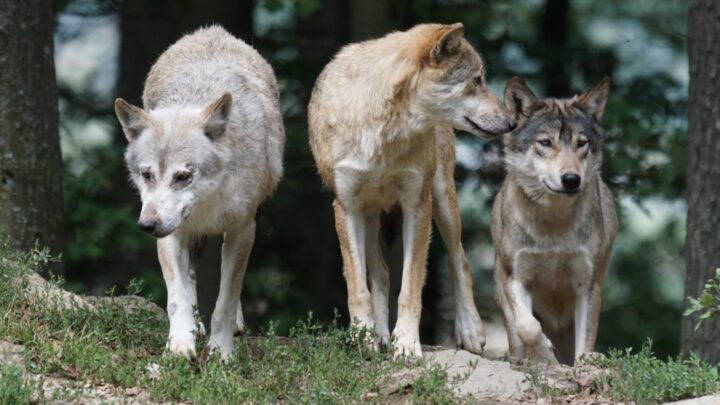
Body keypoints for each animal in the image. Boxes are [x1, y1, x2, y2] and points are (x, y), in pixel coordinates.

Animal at [113, 25, 284, 360]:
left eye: (183, 177)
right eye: (147, 174)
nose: (146, 225)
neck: (207, 203)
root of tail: (212, 30)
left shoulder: (243, 229)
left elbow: (226, 300)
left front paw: (221, 352)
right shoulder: (171, 234)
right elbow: (177, 297)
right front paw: (180, 345)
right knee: (190, 279)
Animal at [306, 22, 516, 356]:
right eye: (477, 80)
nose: (512, 122)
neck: (384, 131)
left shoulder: (417, 204)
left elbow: (411, 288)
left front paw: (406, 344)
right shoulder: (346, 207)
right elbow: (358, 287)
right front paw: (364, 337)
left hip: (443, 202)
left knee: (460, 259)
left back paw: (470, 330)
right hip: (369, 215)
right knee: (380, 274)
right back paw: (379, 335)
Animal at [492, 77, 616, 364]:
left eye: (581, 143)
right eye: (545, 142)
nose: (571, 179)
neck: (553, 226)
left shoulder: (587, 286)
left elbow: (585, 344)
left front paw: (582, 362)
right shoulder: (516, 278)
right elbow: (527, 327)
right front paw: (544, 356)